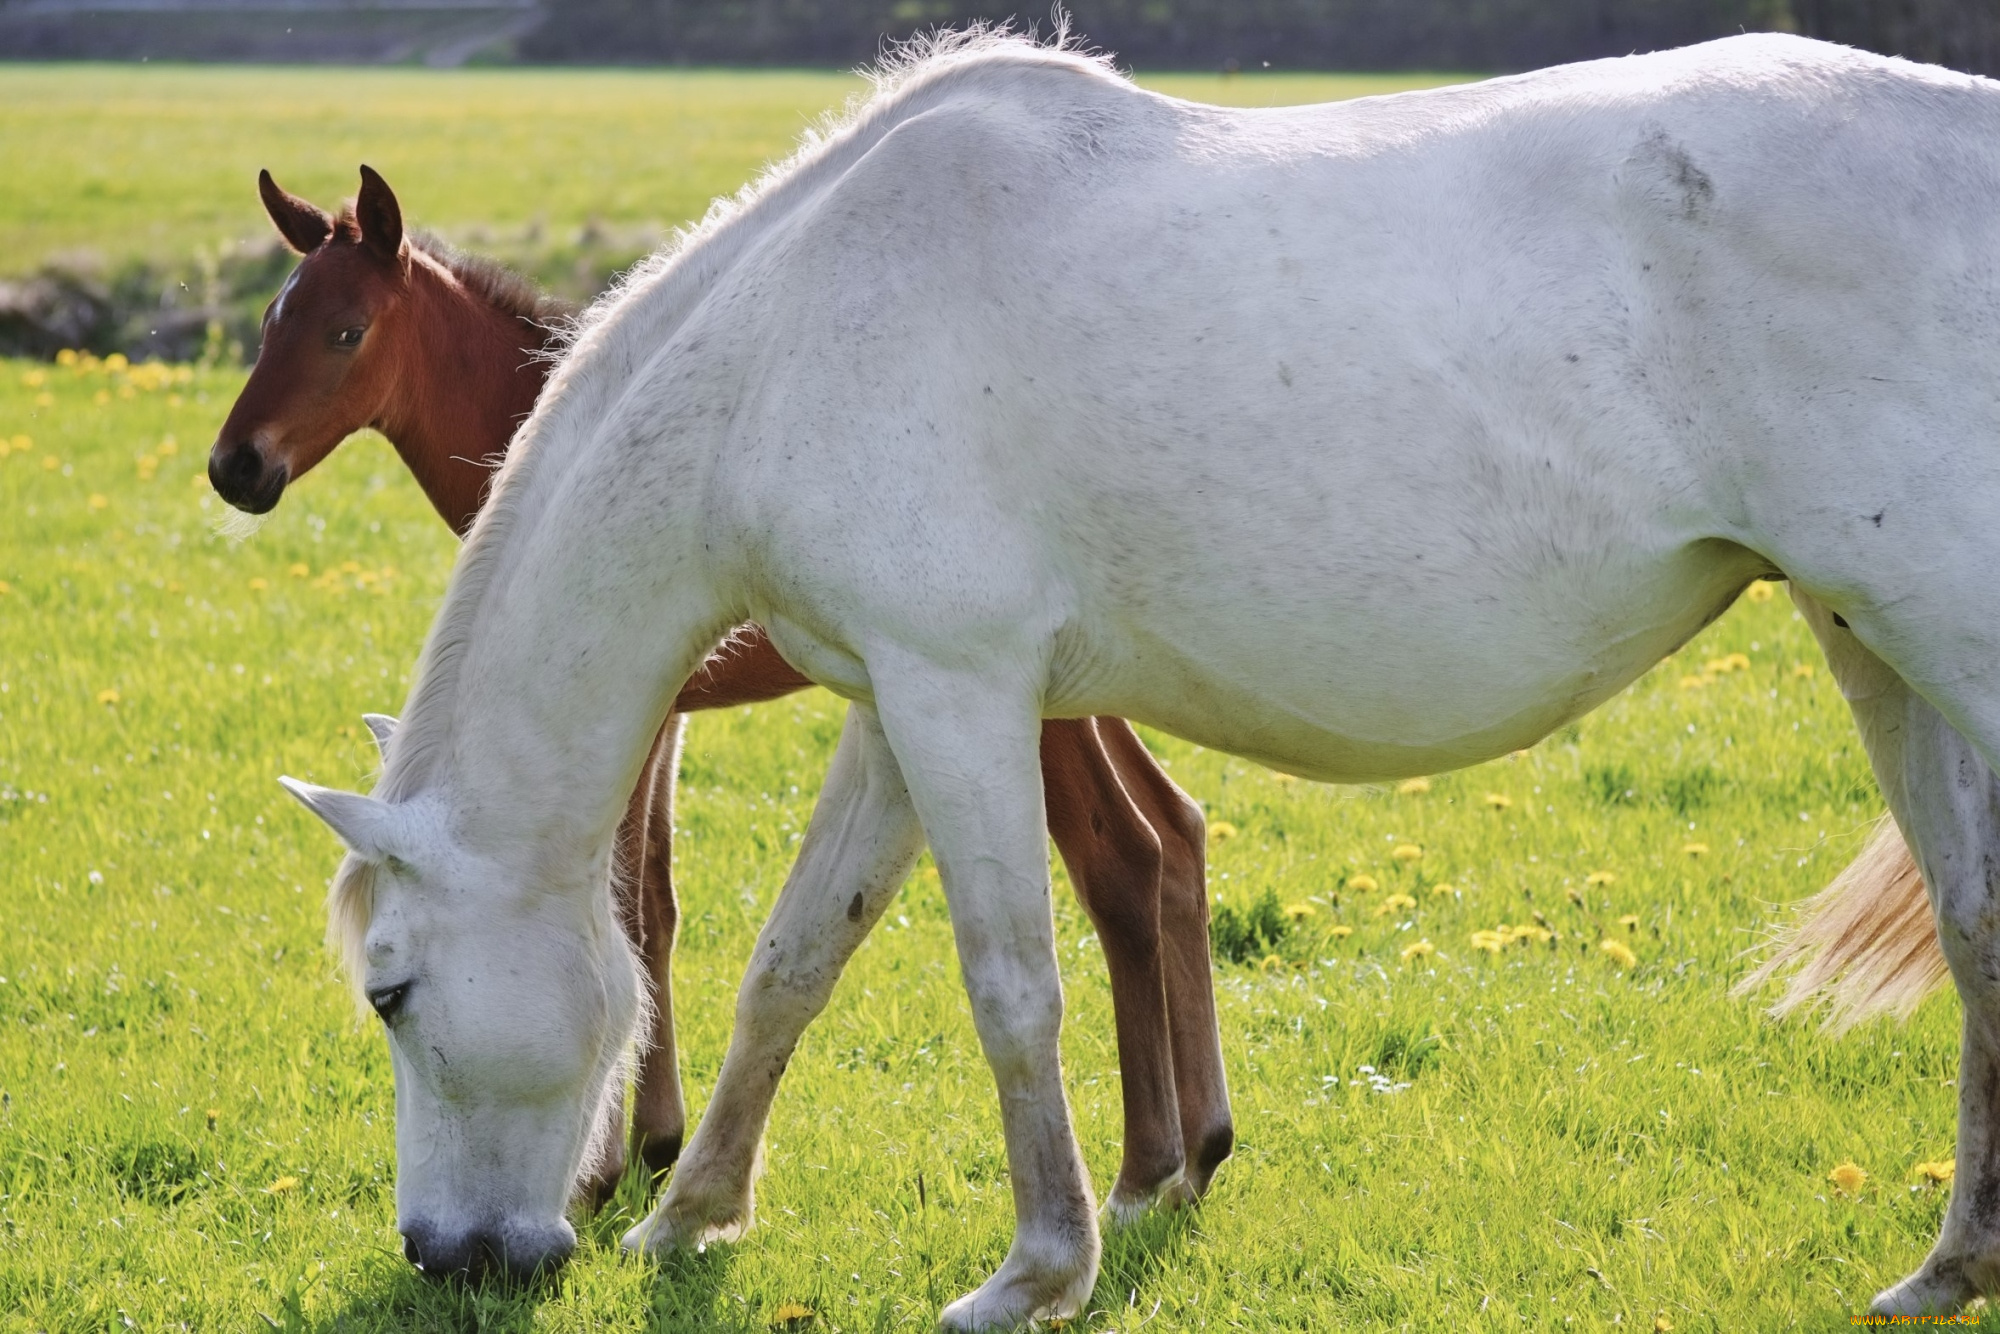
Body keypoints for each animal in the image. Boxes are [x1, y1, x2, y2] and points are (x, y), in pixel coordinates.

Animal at [207, 167, 1232, 1208]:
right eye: (271, 322)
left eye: (347, 332)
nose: (235, 466)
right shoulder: (664, 718)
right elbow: (651, 901)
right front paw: (648, 1140)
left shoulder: (647, 707)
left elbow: (635, 903)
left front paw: (620, 1156)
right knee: (1178, 826)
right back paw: (1202, 1145)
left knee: (1125, 855)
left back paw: (1148, 1163)